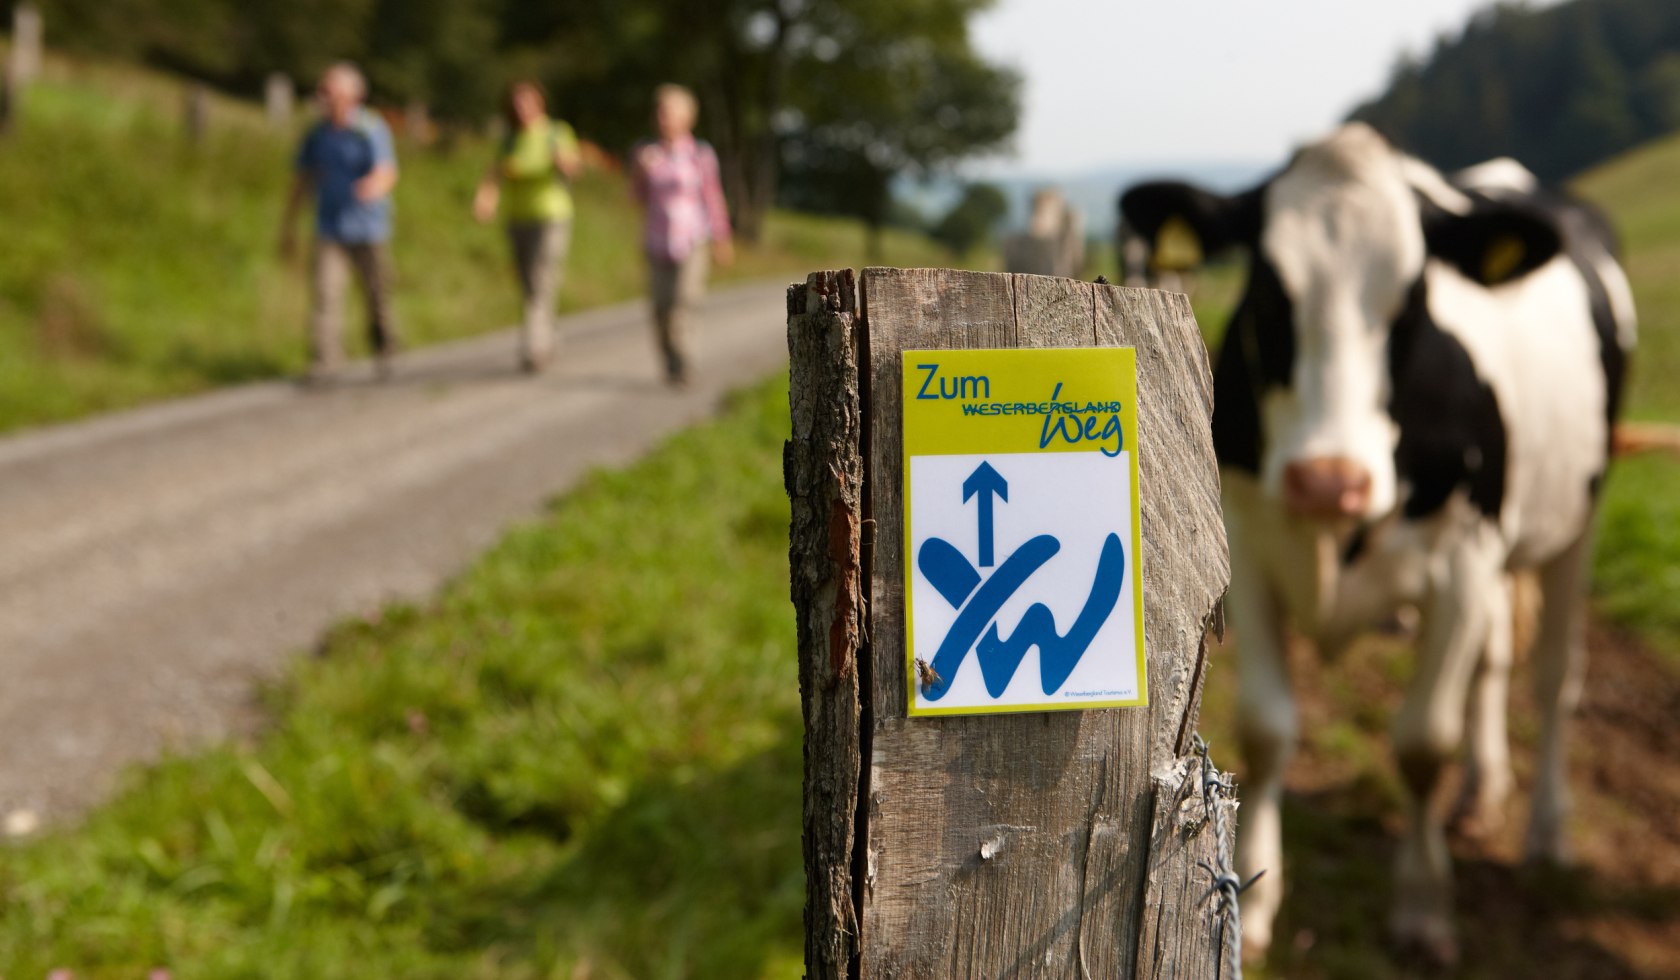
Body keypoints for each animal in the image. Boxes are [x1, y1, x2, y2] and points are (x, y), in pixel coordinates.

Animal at [1122, 124, 1632, 968]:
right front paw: (1257, 909)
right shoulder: (1249, 550)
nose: (1328, 482)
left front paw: (1423, 906)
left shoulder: (1461, 567)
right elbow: (1268, 727)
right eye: (1269, 288)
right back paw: (1481, 791)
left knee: (1557, 673)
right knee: (1495, 659)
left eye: (1414, 298)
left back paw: (1545, 829)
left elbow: (1424, 742)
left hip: (1579, 520)